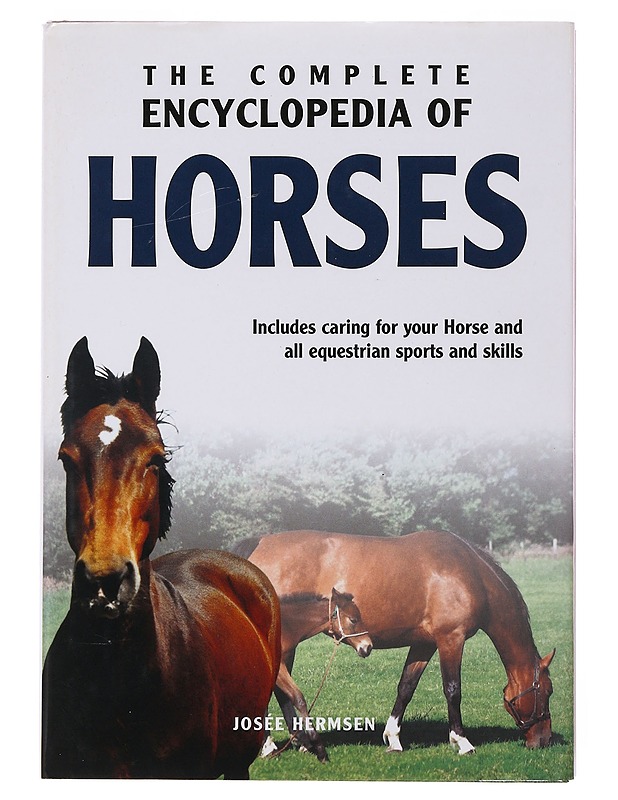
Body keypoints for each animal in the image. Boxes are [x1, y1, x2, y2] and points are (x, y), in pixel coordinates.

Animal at [263, 587, 372, 762]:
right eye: (353, 619)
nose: (368, 647)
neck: (283, 626)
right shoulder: (278, 667)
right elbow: (298, 698)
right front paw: (319, 749)